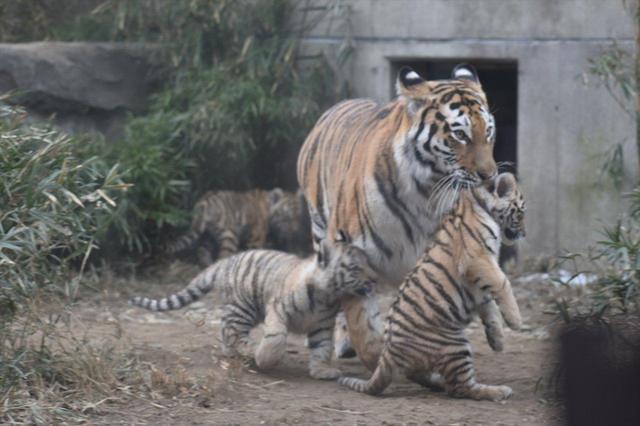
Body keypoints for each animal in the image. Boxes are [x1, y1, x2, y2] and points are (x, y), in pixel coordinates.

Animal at [296, 63, 500, 370]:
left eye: (488, 132)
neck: (426, 192)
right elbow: (361, 320)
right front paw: (376, 354)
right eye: (460, 135)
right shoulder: (348, 247)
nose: (489, 176)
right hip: (321, 233)